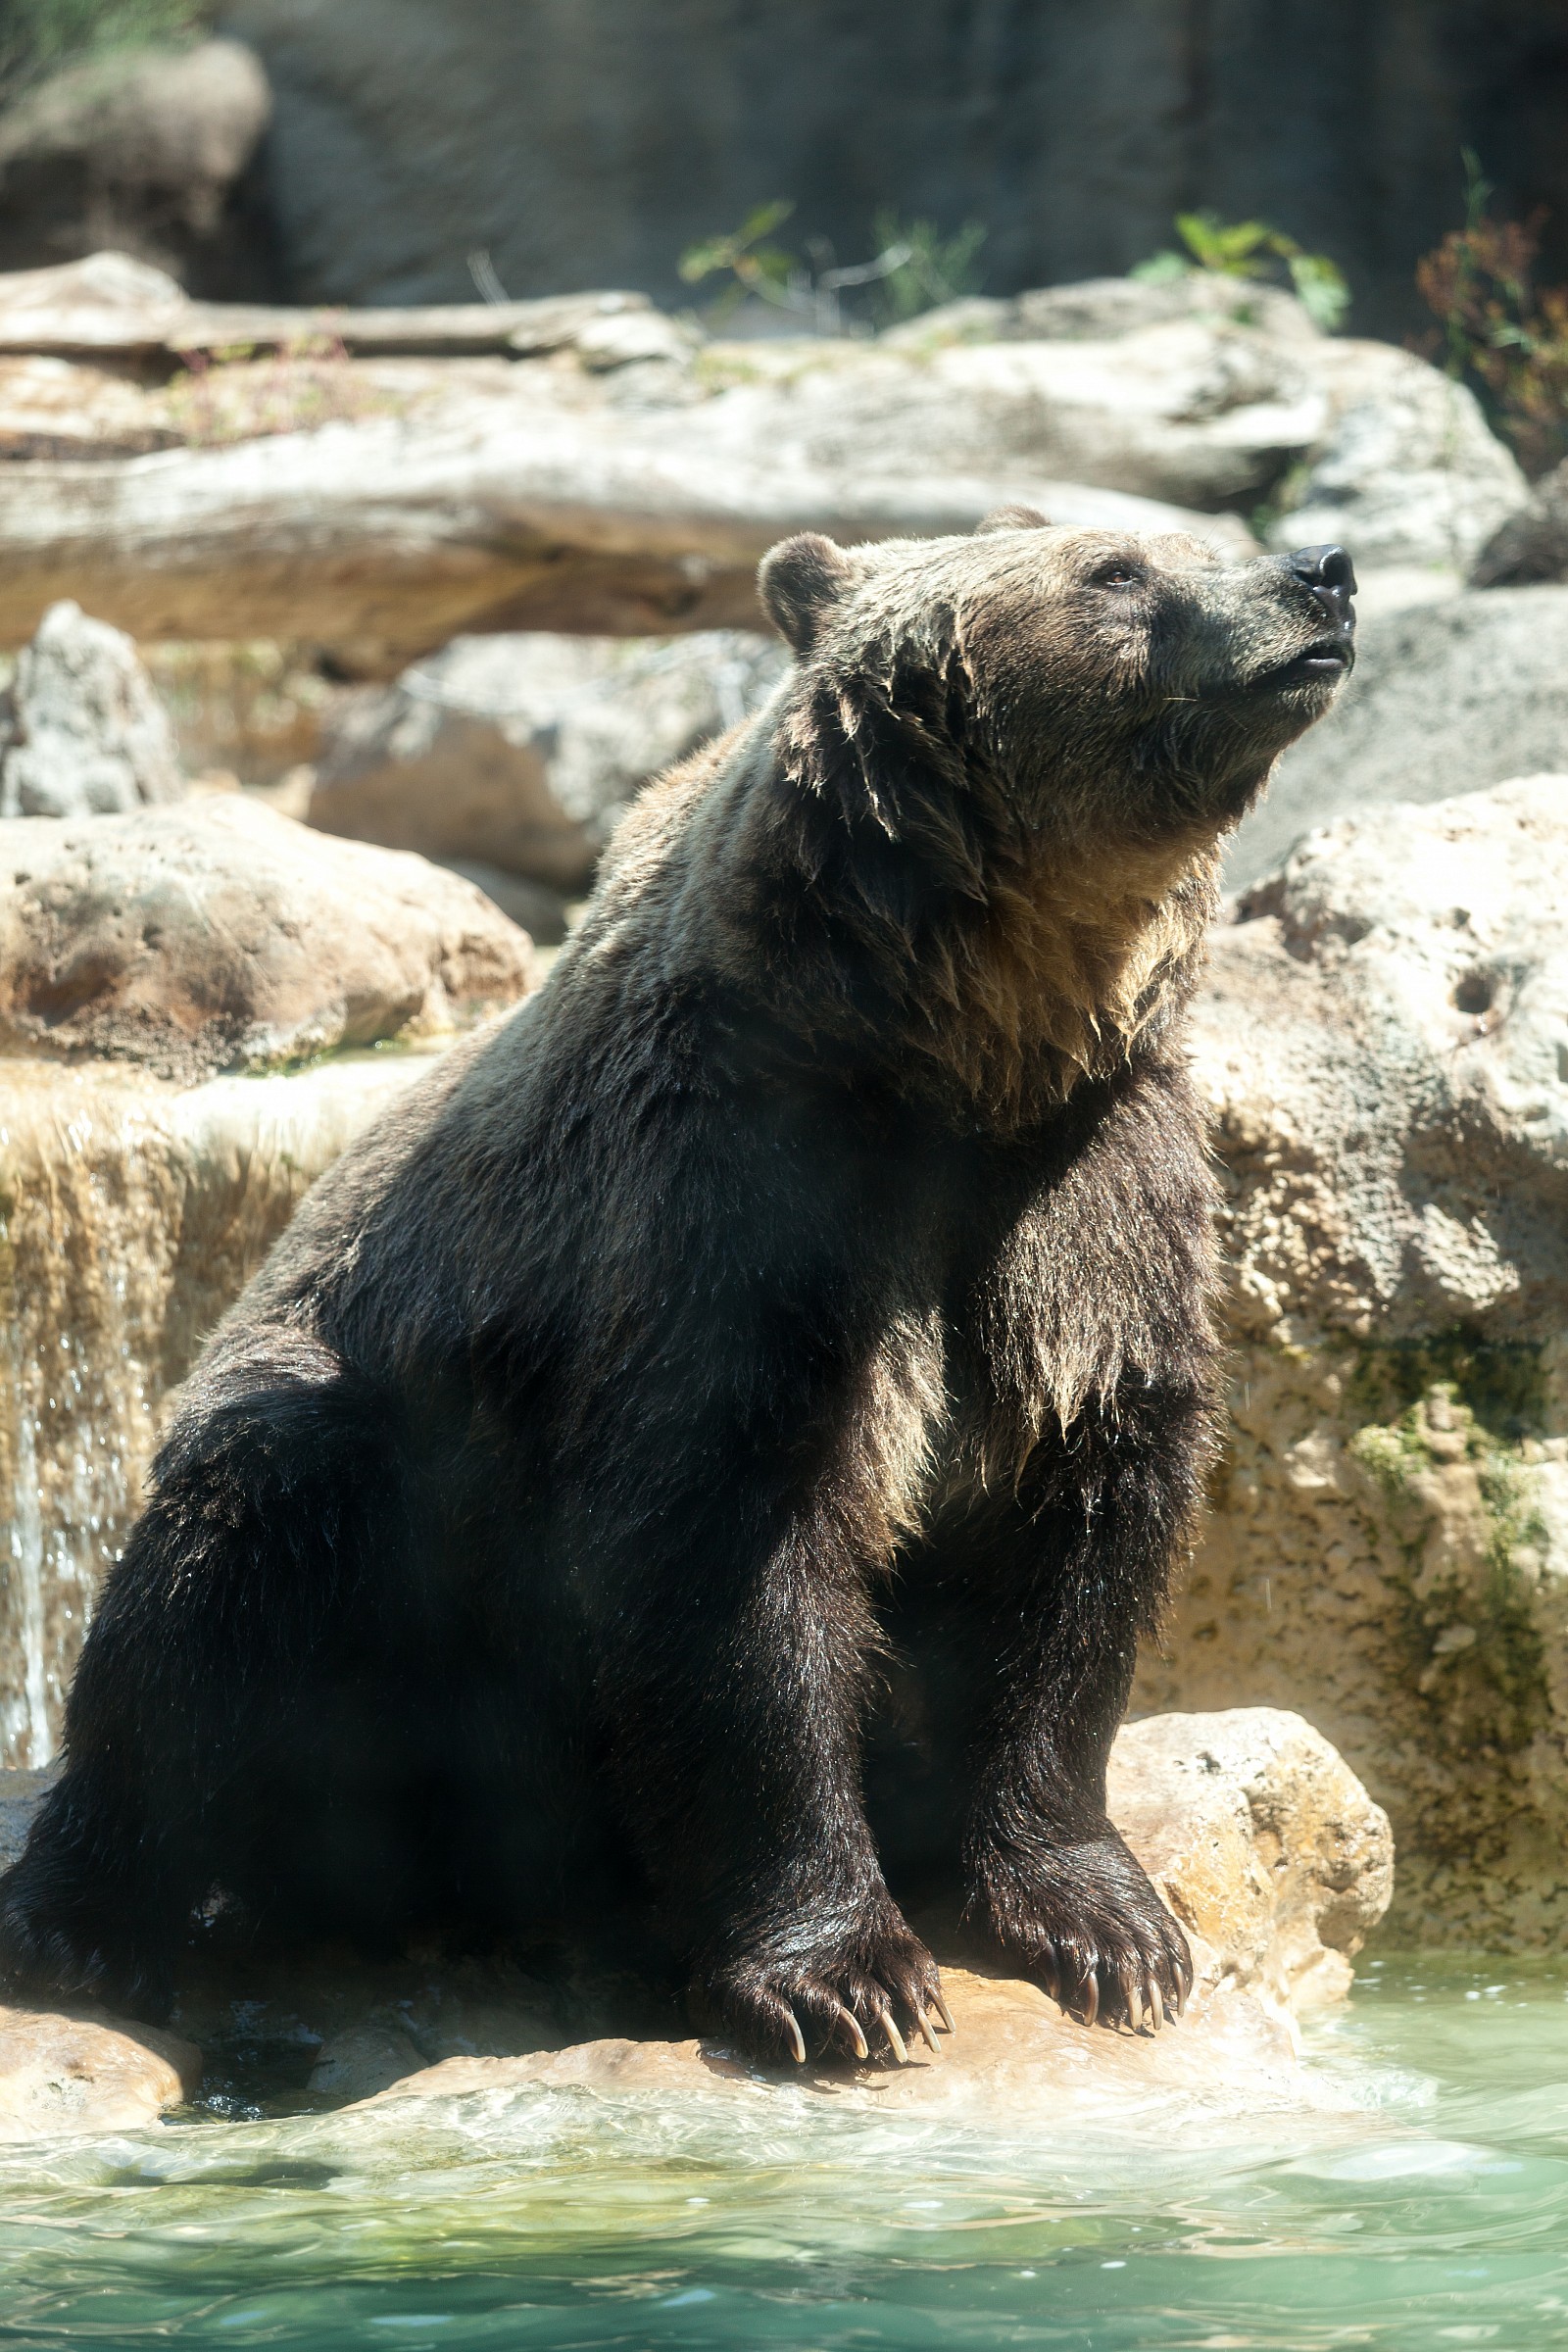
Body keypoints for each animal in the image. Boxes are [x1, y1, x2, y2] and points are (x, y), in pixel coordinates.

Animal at [0, 513, 1355, 2065]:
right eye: (1116, 570)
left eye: (1179, 537)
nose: (1320, 572)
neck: (962, 1047)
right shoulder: (741, 1197)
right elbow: (732, 1557)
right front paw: (848, 1977)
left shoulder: (1082, 1190)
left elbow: (1079, 1519)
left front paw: (1104, 1926)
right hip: (387, 1526)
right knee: (228, 1565)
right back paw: (90, 1919)